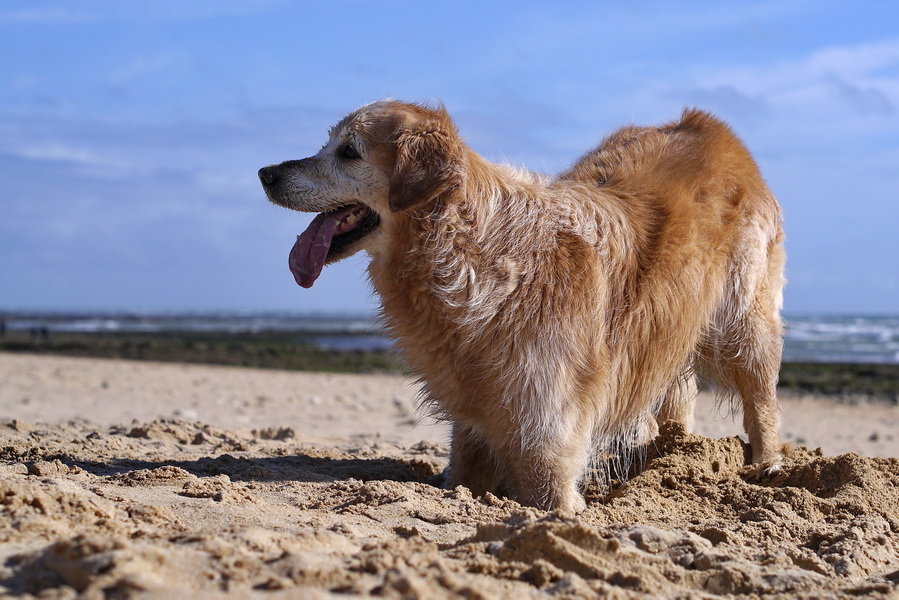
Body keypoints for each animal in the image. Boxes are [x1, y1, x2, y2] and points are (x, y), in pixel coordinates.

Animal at [256, 98, 784, 510]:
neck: (473, 253)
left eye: (349, 151)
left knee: (762, 400)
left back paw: (767, 465)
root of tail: (711, 127)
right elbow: (462, 479)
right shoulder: (473, 425)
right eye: (327, 145)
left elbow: (554, 495)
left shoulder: (549, 438)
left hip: (744, 321)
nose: (265, 173)